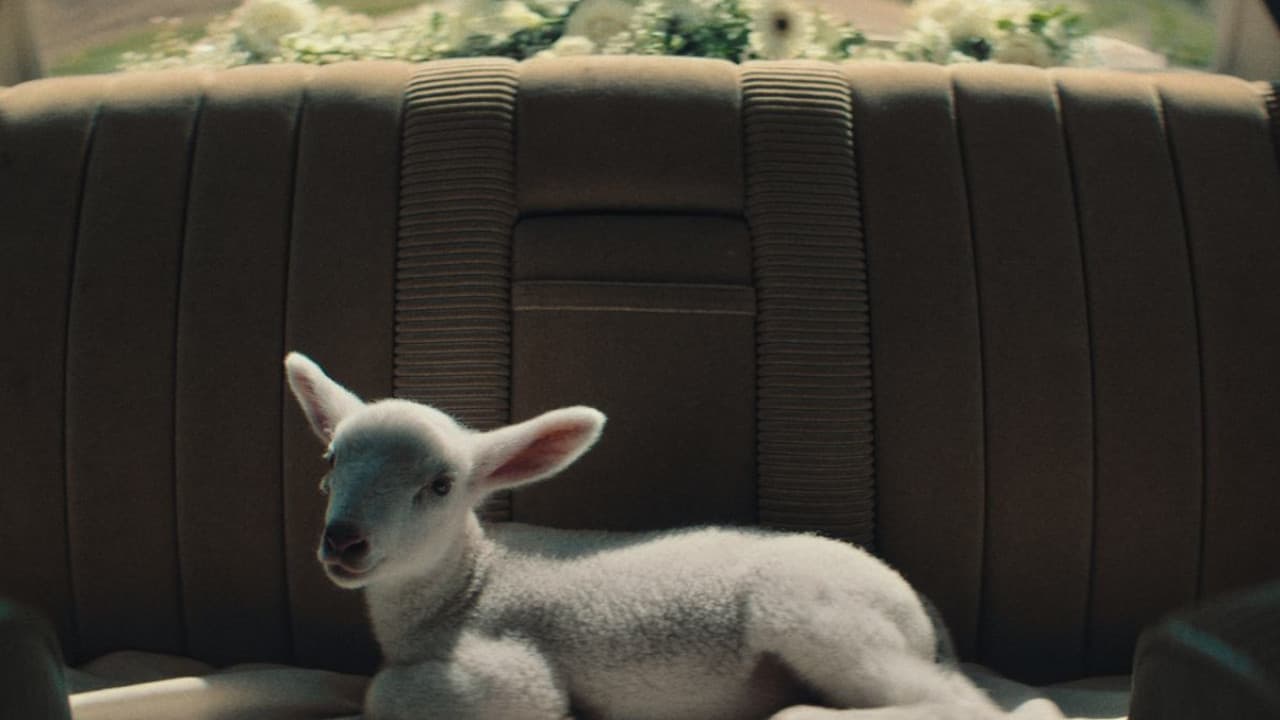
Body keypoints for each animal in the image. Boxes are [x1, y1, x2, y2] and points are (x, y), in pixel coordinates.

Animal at [284, 352, 1062, 720]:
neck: (466, 586)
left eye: (441, 486)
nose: (344, 542)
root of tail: (917, 605)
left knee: (964, 707)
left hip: (816, 612)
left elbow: (388, 693)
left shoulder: (507, 674)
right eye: (331, 463)